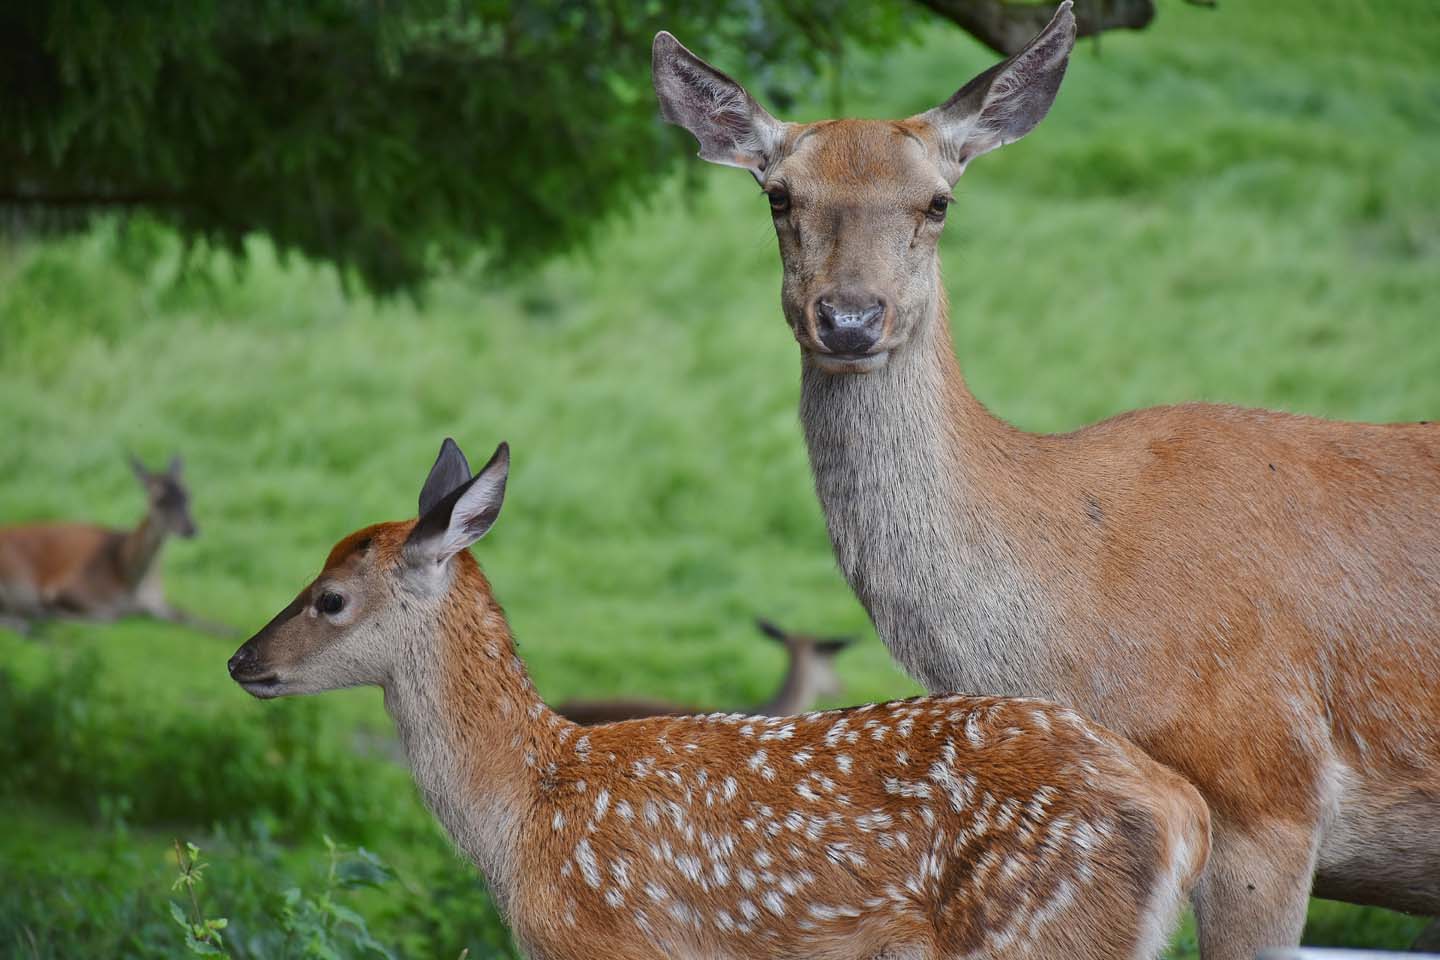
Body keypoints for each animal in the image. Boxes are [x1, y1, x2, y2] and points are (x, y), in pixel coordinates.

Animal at [0, 451, 227, 633]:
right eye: (159, 500)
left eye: (188, 495)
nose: (191, 529)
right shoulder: (63, 587)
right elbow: (109, 616)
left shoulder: (157, 600)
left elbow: (199, 619)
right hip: (21, 583)